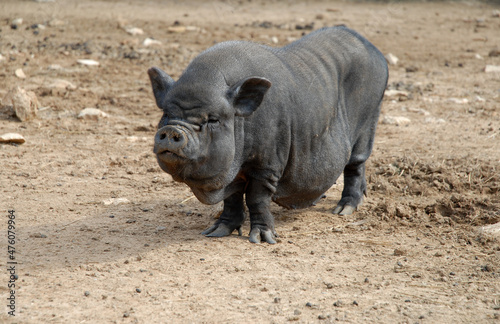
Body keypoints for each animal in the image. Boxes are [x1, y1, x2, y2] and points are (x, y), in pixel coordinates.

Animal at [148, 26, 390, 243]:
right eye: (166, 114)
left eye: (213, 119)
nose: (172, 130)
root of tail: (375, 51)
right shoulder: (233, 172)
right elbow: (232, 199)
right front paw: (214, 232)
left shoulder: (268, 164)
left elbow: (256, 198)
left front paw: (263, 239)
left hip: (369, 118)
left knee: (356, 164)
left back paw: (343, 210)